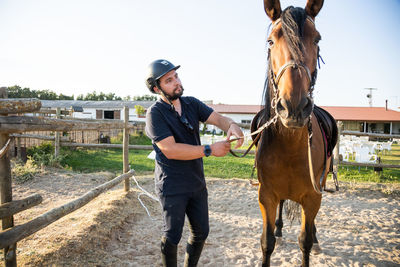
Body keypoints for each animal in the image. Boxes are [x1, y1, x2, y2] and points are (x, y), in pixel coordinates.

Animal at [253, 0, 334, 267]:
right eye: (270, 41)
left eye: (317, 39)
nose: (294, 107)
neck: (289, 146)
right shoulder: (266, 195)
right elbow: (267, 242)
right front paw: (274, 234)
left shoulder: (312, 197)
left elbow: (304, 241)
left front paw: (312, 241)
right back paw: (279, 229)